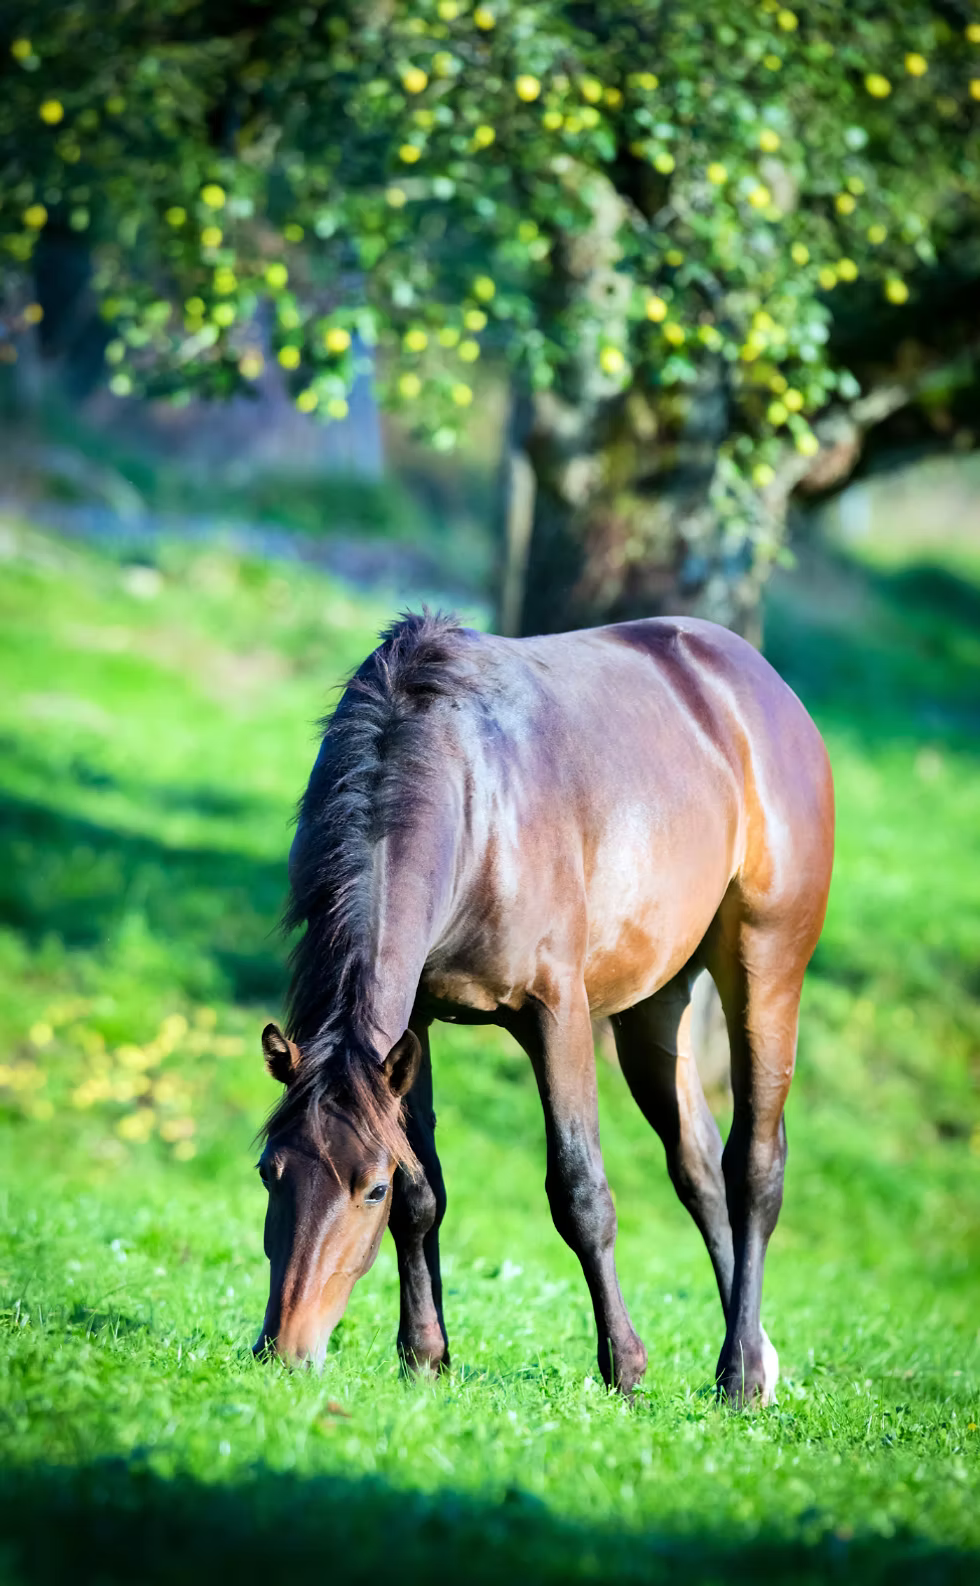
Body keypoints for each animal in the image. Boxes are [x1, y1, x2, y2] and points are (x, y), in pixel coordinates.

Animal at [254, 611, 834, 1405]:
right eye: (268, 1172)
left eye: (366, 1189)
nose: (283, 1351)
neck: (468, 797)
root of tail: (759, 681)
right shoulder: (410, 1030)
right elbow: (423, 1192)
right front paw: (425, 1355)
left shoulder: (555, 1014)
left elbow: (581, 1193)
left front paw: (625, 1366)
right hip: (656, 1008)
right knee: (699, 1167)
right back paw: (756, 1360)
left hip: (766, 970)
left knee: (754, 1167)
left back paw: (741, 1372)